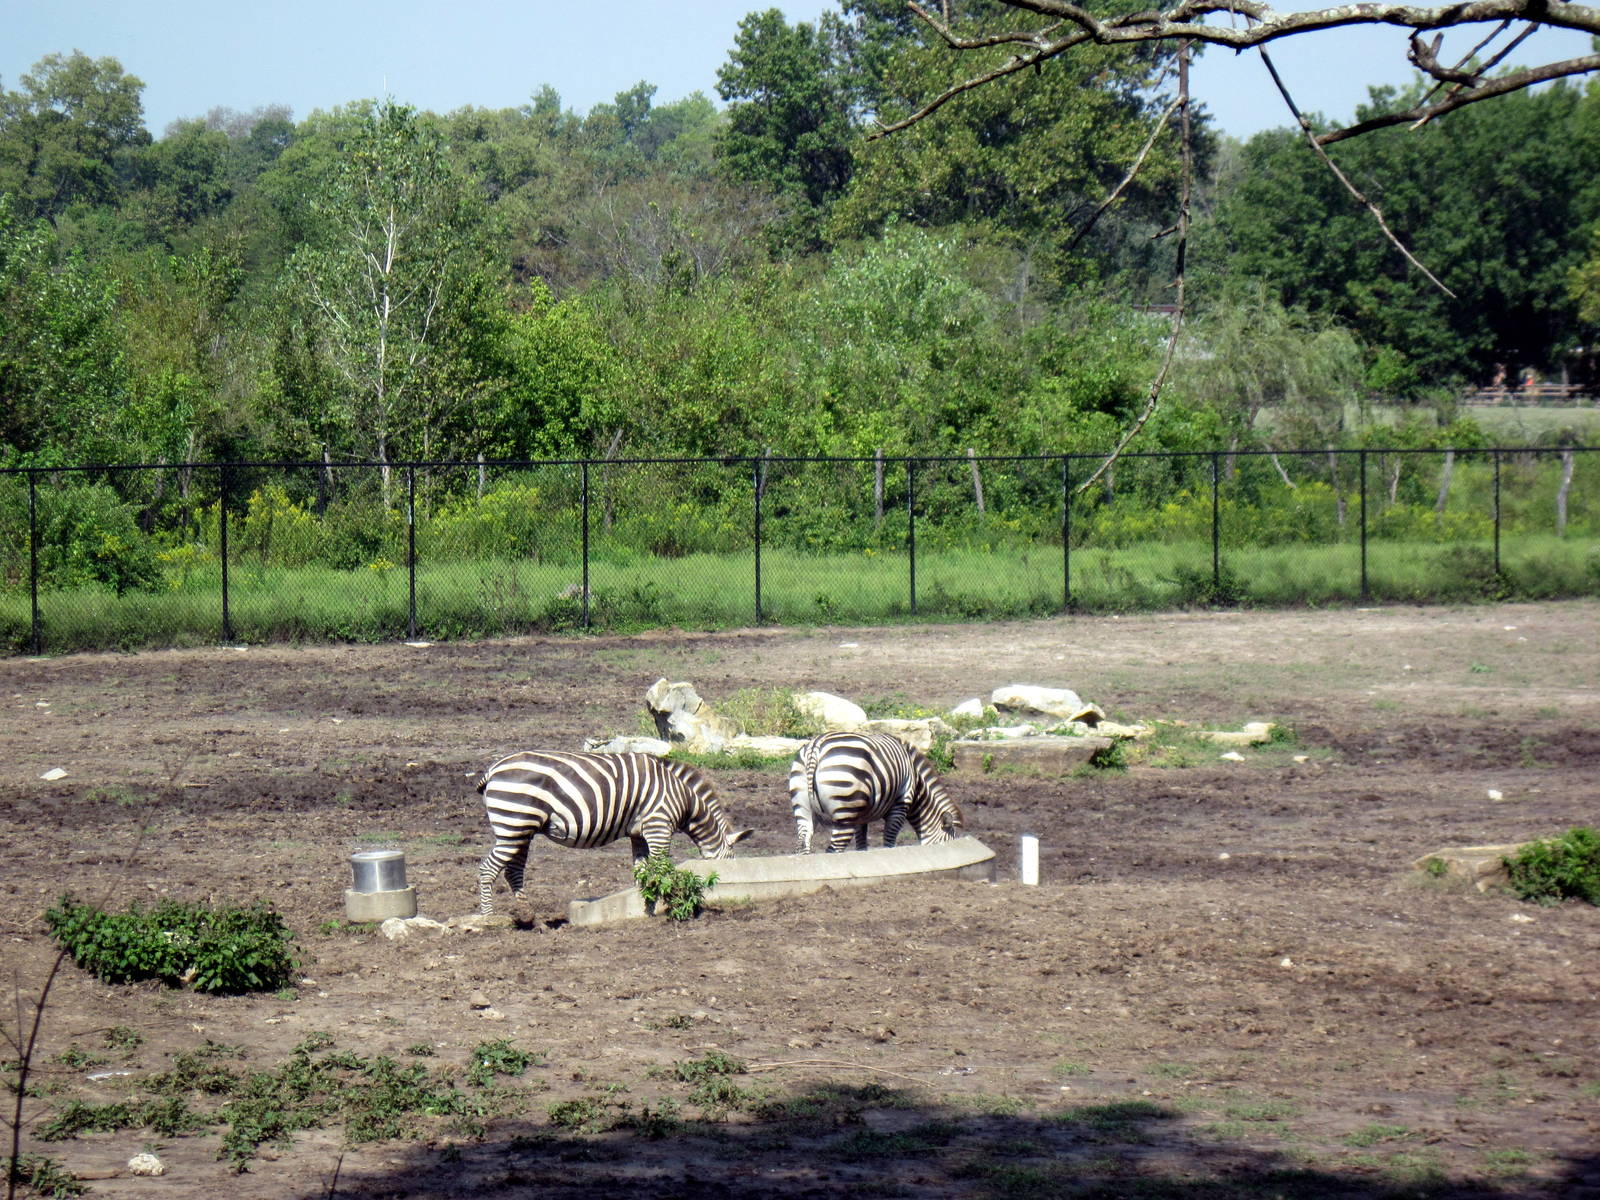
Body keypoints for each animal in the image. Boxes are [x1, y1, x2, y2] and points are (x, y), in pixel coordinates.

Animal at [475, 751, 752, 914]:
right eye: (730, 866)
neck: (684, 799)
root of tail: (493, 769)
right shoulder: (659, 825)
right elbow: (661, 867)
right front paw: (669, 900)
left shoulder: (639, 833)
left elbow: (642, 870)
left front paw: (645, 903)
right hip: (514, 823)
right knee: (488, 869)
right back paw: (489, 917)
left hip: (522, 829)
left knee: (513, 871)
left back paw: (532, 920)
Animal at [788, 731, 964, 854]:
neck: (916, 779)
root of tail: (815, 747)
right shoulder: (901, 804)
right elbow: (889, 840)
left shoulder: (861, 817)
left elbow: (861, 844)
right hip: (845, 808)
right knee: (834, 848)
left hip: (803, 803)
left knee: (803, 843)